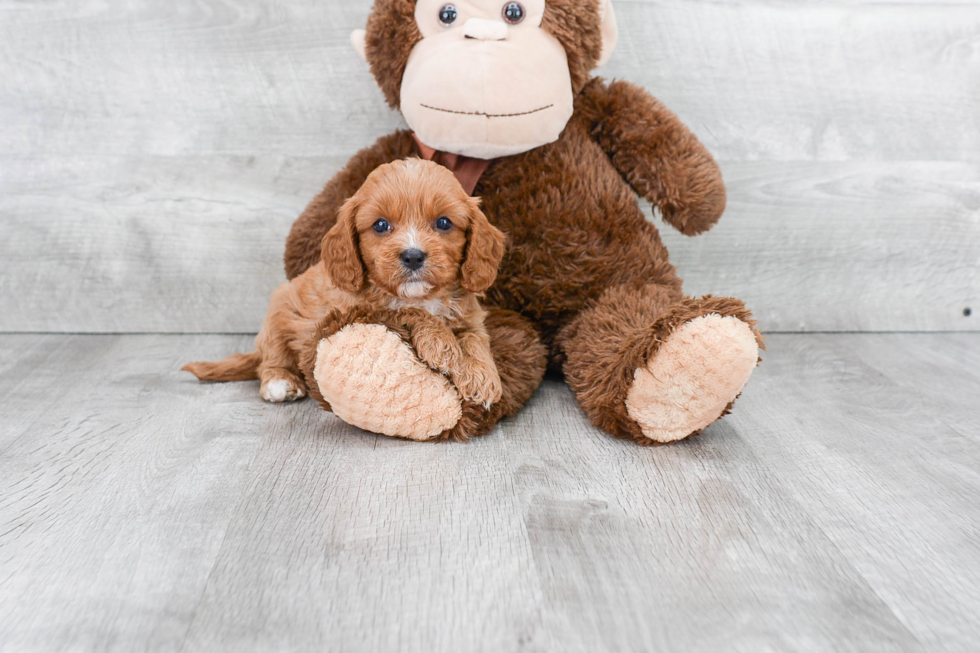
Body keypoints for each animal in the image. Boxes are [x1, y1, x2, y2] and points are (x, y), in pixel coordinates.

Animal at [182, 159, 506, 408]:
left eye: (443, 223)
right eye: (380, 225)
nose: (413, 256)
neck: (421, 296)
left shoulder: (470, 316)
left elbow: (476, 340)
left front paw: (482, 379)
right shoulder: (364, 310)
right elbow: (408, 311)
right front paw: (442, 344)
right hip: (278, 311)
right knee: (271, 357)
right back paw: (280, 382)